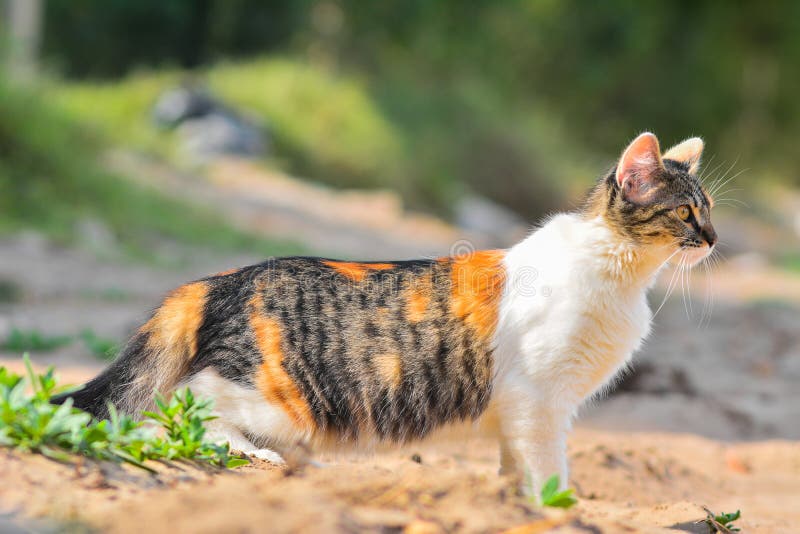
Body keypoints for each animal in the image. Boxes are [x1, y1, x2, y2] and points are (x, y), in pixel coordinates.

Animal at [57, 133, 720, 494]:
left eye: (710, 208)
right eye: (685, 213)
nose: (714, 239)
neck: (625, 277)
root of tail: (218, 279)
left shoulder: (522, 411)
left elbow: (516, 468)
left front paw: (513, 503)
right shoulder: (540, 401)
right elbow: (549, 470)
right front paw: (556, 507)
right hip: (277, 398)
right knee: (167, 410)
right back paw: (253, 452)